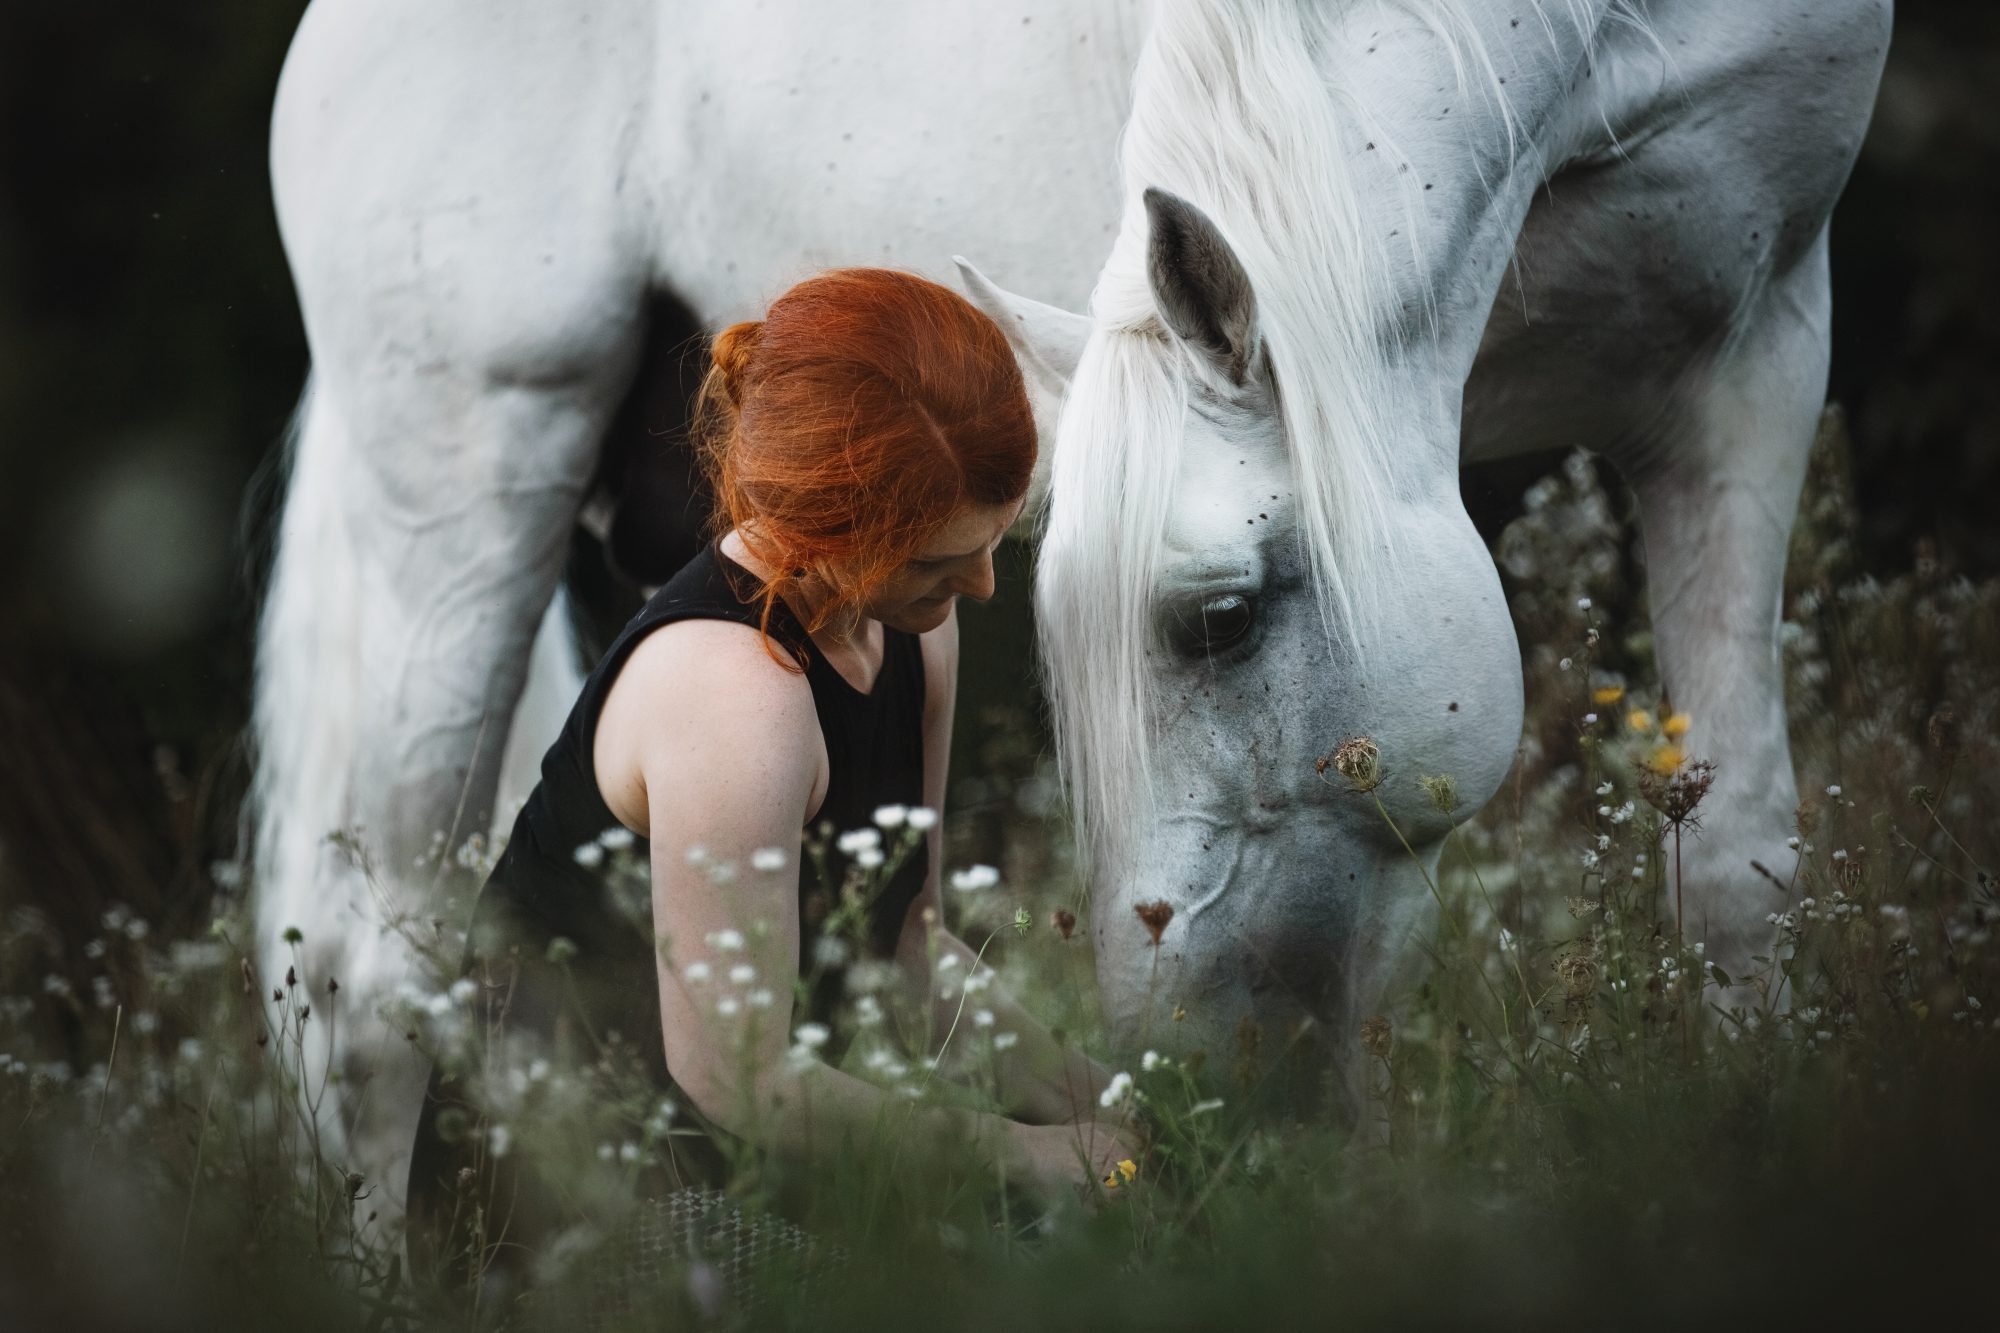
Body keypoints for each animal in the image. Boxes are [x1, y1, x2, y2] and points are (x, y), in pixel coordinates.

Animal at [254, 0, 1888, 1216]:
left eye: (1220, 620)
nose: (1189, 1083)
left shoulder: (1750, 352)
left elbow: (1732, 868)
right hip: (468, 474)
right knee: (370, 980)